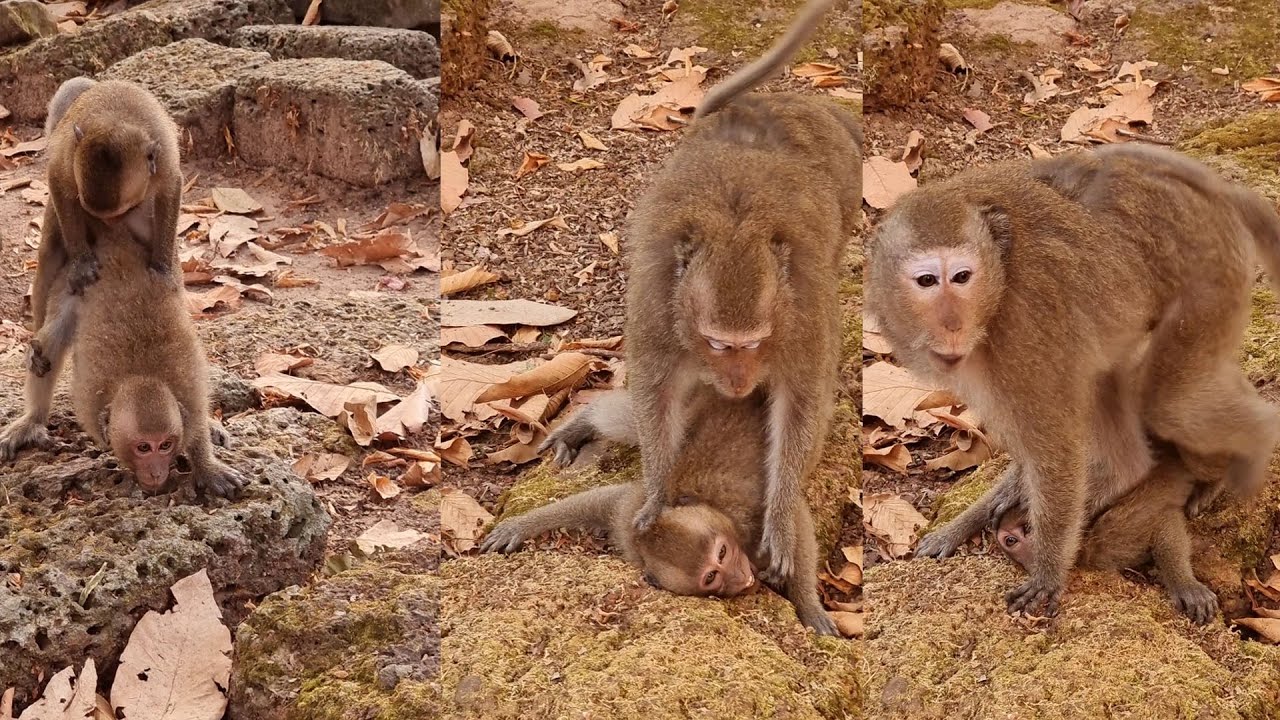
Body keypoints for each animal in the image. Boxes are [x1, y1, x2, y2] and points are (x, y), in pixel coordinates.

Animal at [0, 223, 244, 498]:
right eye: (144, 448)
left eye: (166, 445)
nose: (156, 473)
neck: (141, 375)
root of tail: (118, 245)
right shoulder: (90, 399)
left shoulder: (191, 394)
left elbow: (197, 426)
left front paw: (206, 466)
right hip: (70, 284)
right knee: (48, 345)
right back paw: (34, 418)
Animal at [42, 77, 182, 299]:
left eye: (128, 210)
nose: (109, 224)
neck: (116, 120)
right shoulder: (68, 154)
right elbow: (57, 179)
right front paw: (81, 264)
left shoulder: (164, 159)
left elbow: (170, 189)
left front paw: (162, 267)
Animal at [487, 390, 838, 636]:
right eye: (711, 576)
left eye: (722, 552)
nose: (742, 577)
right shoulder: (632, 520)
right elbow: (605, 503)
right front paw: (520, 525)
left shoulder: (751, 519)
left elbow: (793, 518)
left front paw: (809, 607)